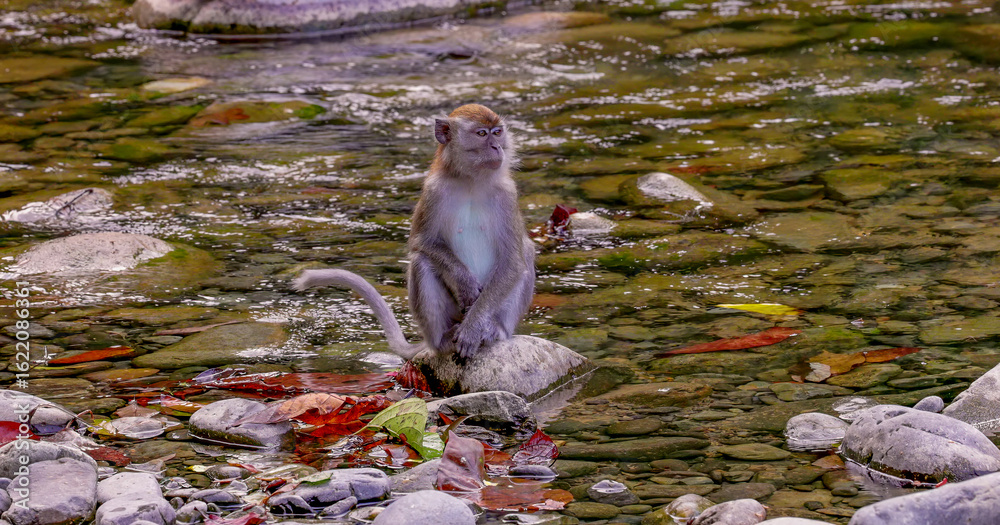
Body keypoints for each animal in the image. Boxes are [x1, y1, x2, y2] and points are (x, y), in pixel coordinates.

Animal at [296, 104, 535, 360]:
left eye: (498, 132)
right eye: (482, 134)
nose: (497, 147)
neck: (471, 181)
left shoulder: (507, 195)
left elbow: (512, 261)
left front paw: (473, 328)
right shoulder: (433, 191)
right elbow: (422, 243)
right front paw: (464, 281)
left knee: (526, 253)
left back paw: (494, 329)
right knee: (421, 262)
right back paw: (441, 340)